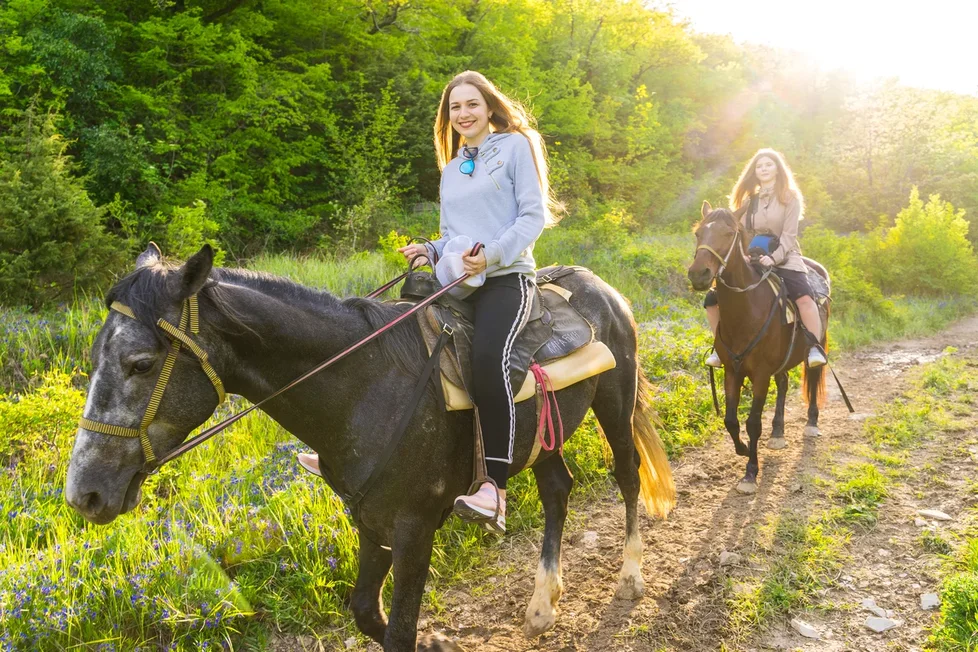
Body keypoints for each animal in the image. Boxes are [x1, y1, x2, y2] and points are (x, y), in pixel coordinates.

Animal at [65, 244, 676, 652]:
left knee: (626, 476)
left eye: (140, 363)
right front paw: (438, 643)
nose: (84, 494)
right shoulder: (370, 516)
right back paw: (543, 604)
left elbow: (399, 630)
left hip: (615, 404)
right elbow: (365, 612)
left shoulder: (414, 527)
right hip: (543, 437)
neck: (365, 383)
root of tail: (597, 285)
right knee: (556, 490)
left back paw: (630, 576)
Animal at [688, 201, 824, 492]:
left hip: (814, 348)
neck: (746, 311)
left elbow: (752, 423)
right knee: (784, 384)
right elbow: (730, 420)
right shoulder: (732, 371)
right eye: (698, 233)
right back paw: (778, 432)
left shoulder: (760, 375)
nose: (698, 273)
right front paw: (741, 449)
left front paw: (750, 472)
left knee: (814, 375)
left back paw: (811, 423)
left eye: (729, 233)